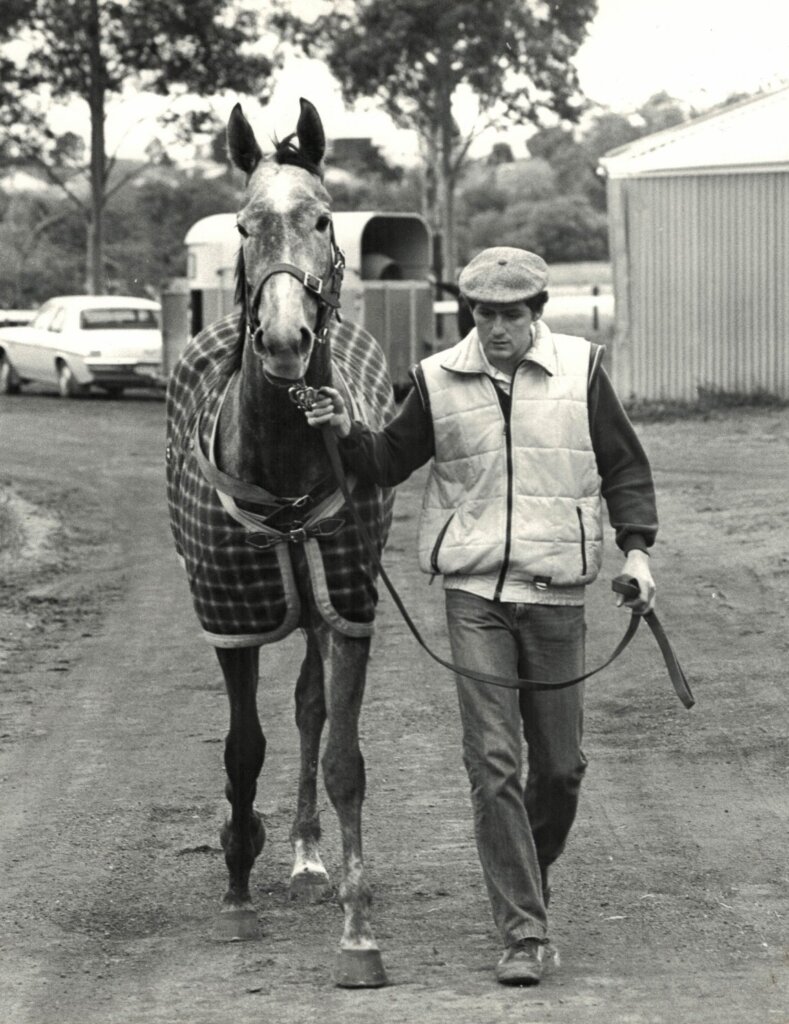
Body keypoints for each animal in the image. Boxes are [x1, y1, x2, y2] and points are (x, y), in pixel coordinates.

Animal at [165, 98, 395, 987]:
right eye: (242, 225)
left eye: (323, 218)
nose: (286, 339)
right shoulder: (234, 617)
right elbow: (241, 751)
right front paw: (235, 887)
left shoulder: (348, 606)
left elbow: (342, 758)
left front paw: (358, 931)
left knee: (310, 710)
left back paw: (303, 853)